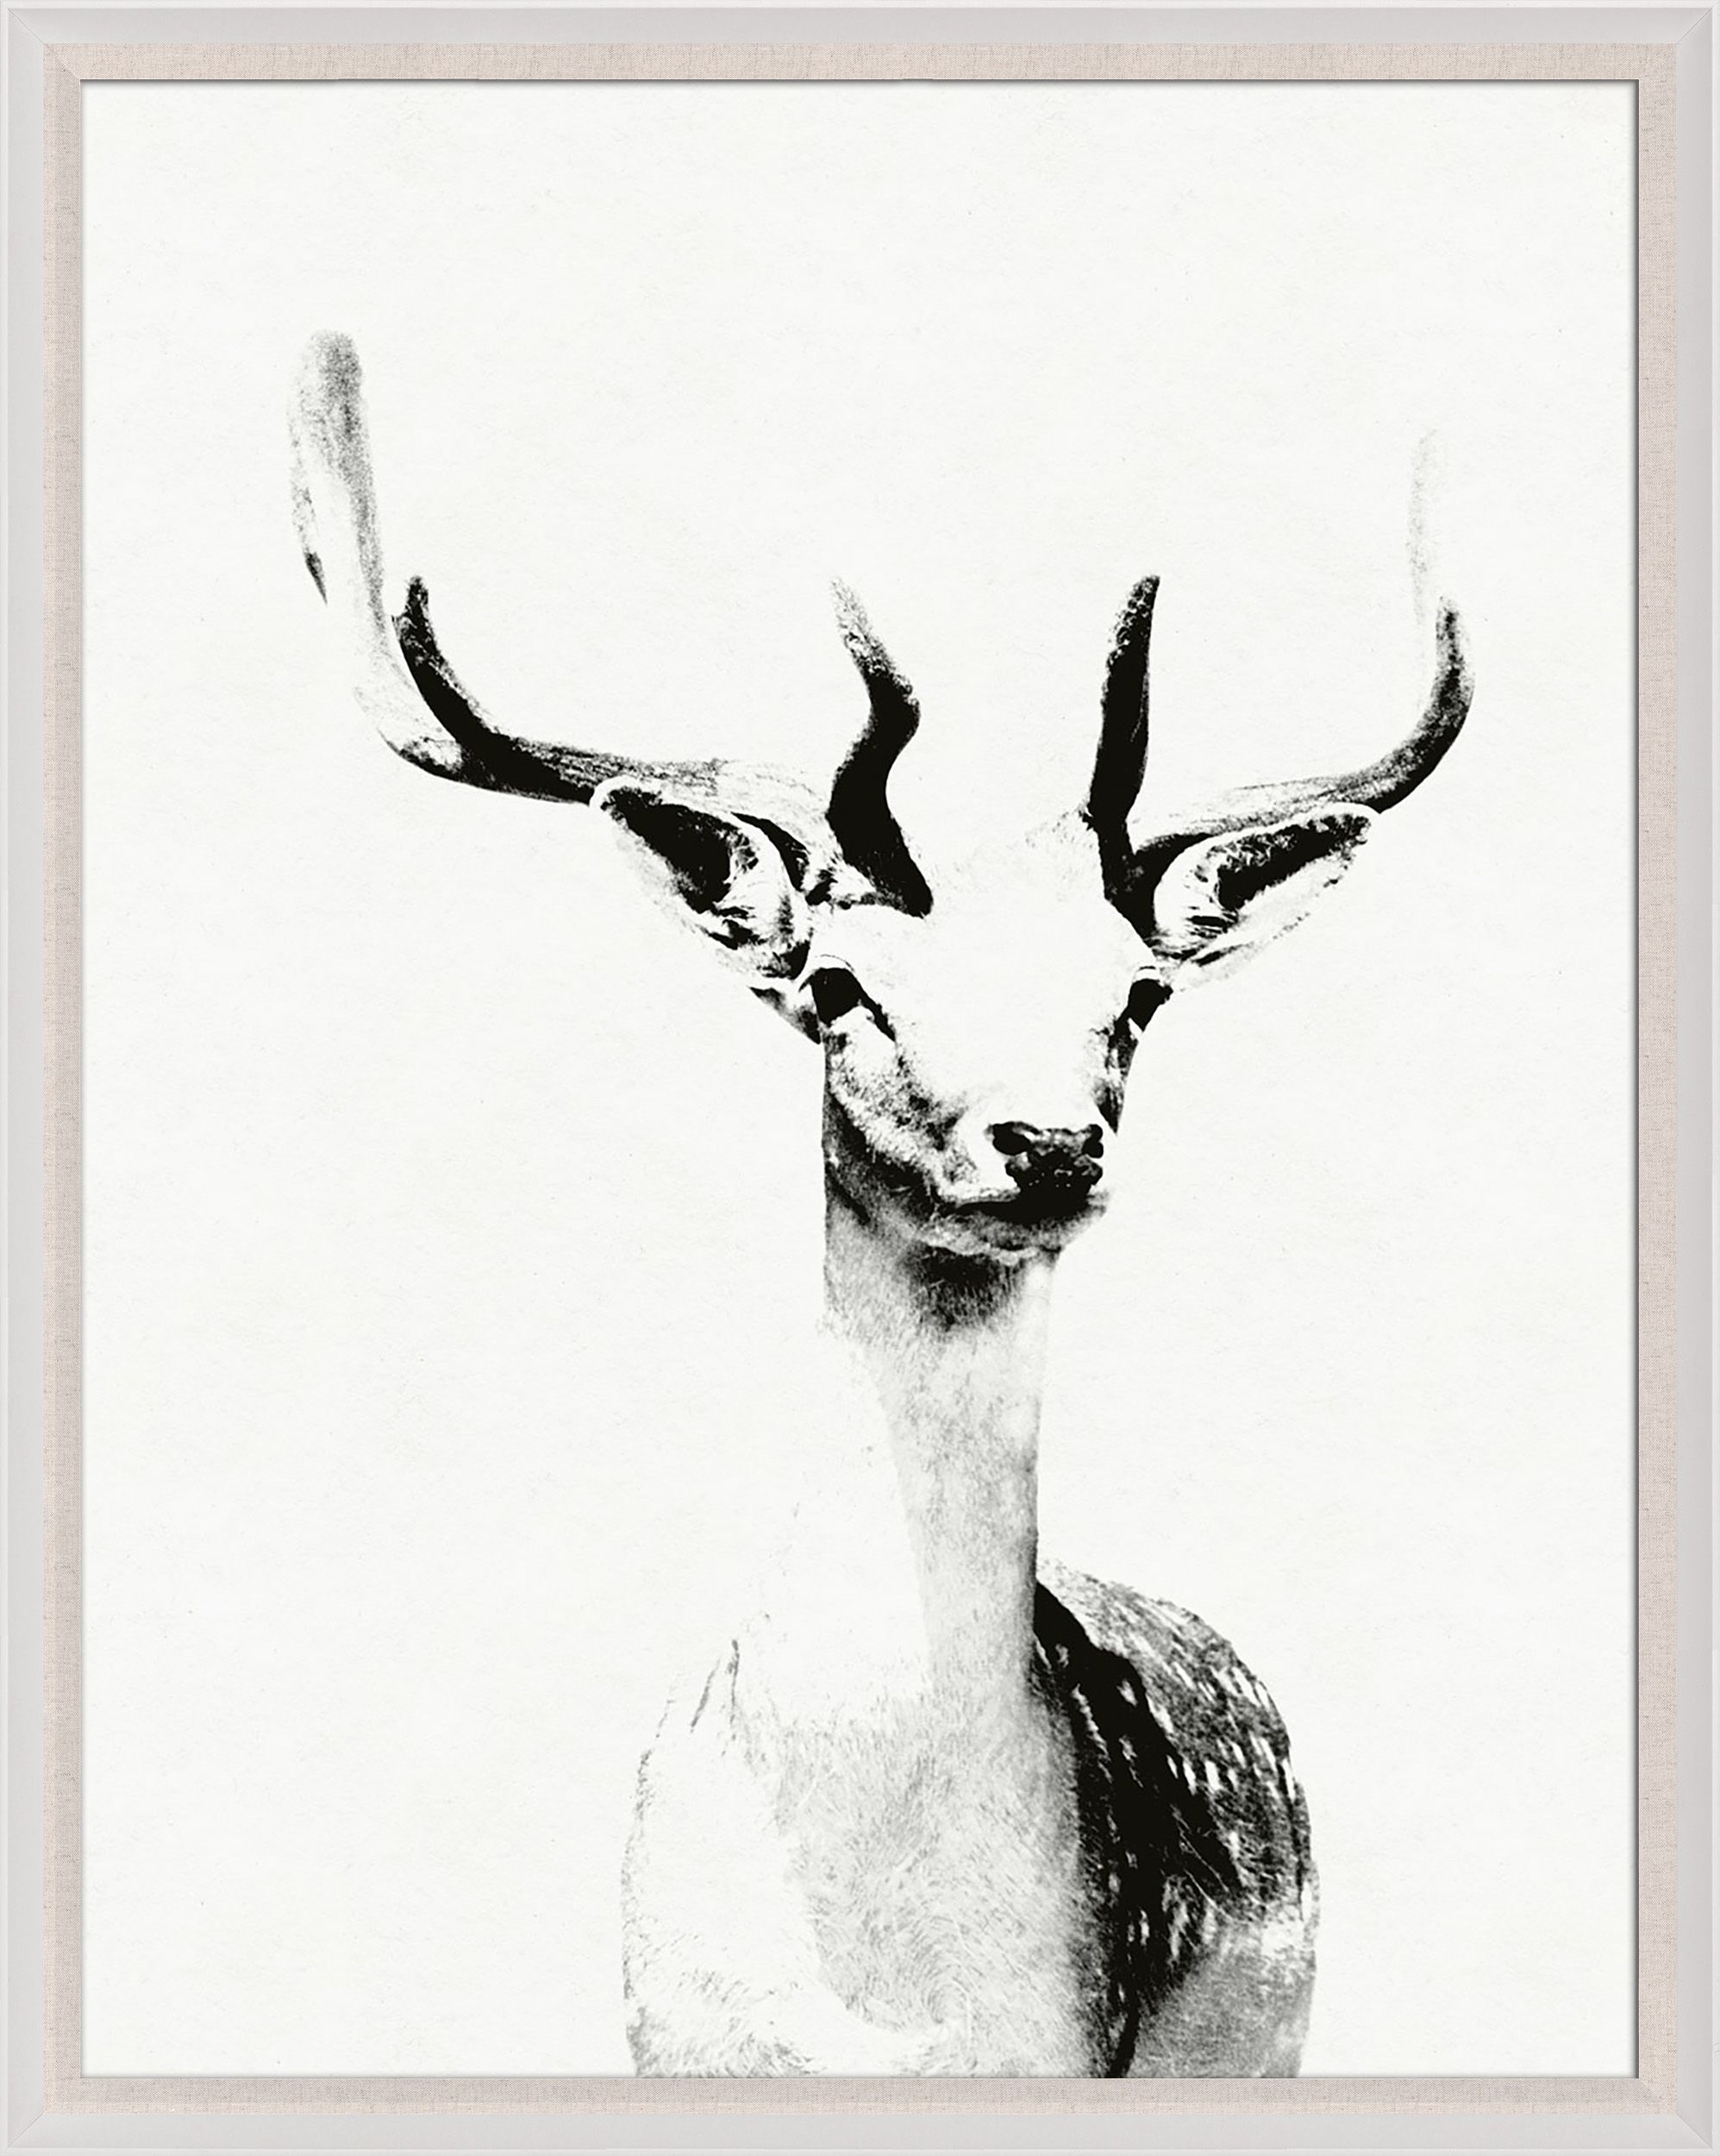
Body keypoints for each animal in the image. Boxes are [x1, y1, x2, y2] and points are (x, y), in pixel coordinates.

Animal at [288, 332, 1472, 2080]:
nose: (1049, 1145)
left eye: (1134, 1000)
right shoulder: (666, 2040)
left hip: (1267, 2036)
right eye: (842, 987)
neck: (878, 1971)